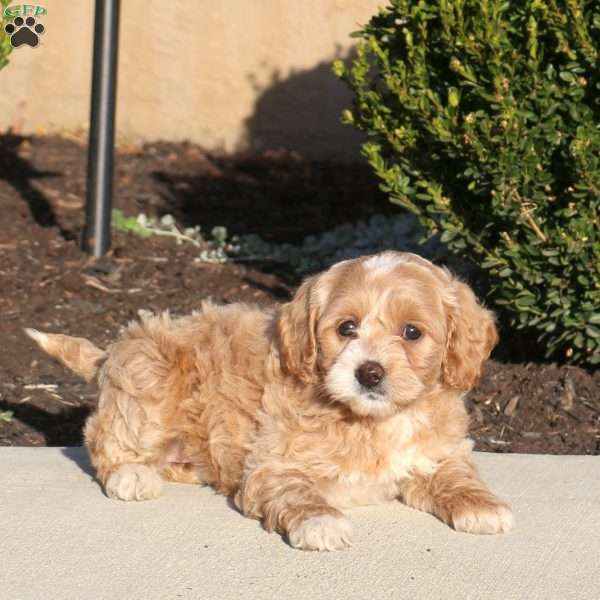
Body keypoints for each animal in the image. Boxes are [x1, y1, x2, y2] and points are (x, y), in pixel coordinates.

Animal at [28, 251, 512, 552]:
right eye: (346, 328)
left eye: (412, 332)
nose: (369, 372)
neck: (373, 421)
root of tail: (113, 349)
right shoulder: (272, 465)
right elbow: (297, 490)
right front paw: (321, 521)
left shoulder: (437, 453)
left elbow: (456, 475)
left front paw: (482, 505)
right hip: (149, 379)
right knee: (104, 439)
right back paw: (131, 475)